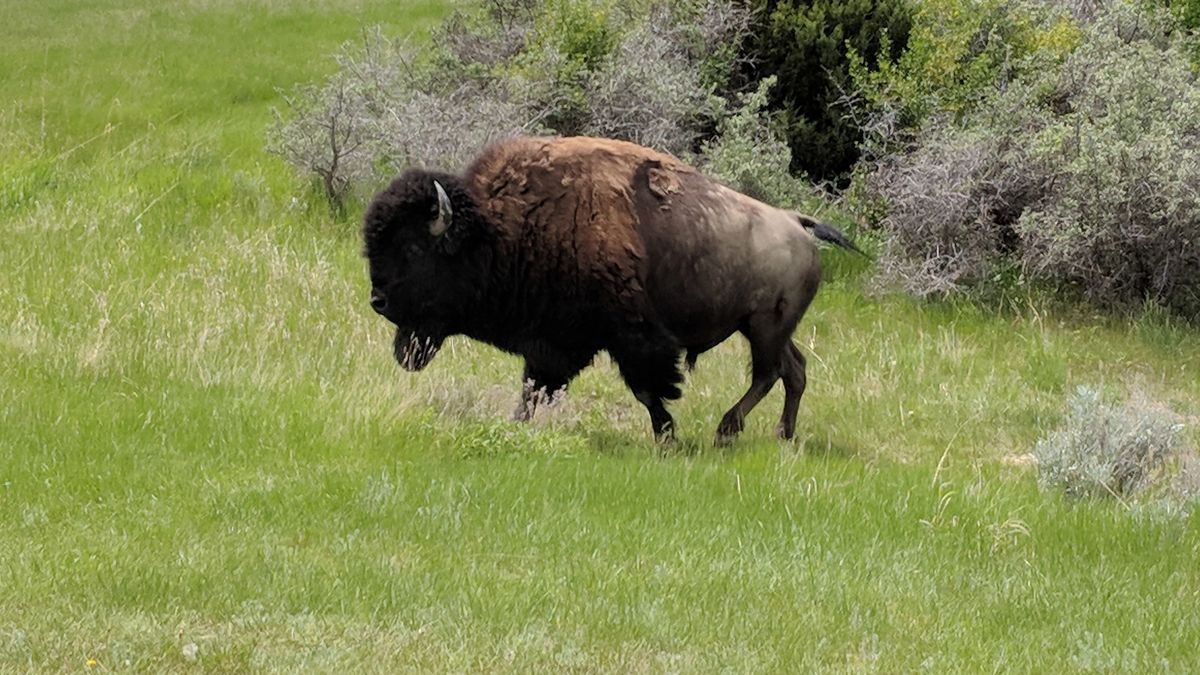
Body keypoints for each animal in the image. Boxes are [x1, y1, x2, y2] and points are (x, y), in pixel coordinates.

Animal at [362, 136, 861, 443]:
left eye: (412, 247)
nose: (378, 300)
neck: (498, 230)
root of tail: (796, 222)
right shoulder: (553, 343)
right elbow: (533, 389)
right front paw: (516, 425)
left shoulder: (632, 337)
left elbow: (647, 389)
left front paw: (667, 437)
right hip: (767, 328)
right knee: (793, 371)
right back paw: (783, 435)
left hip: (763, 327)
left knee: (768, 373)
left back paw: (726, 430)